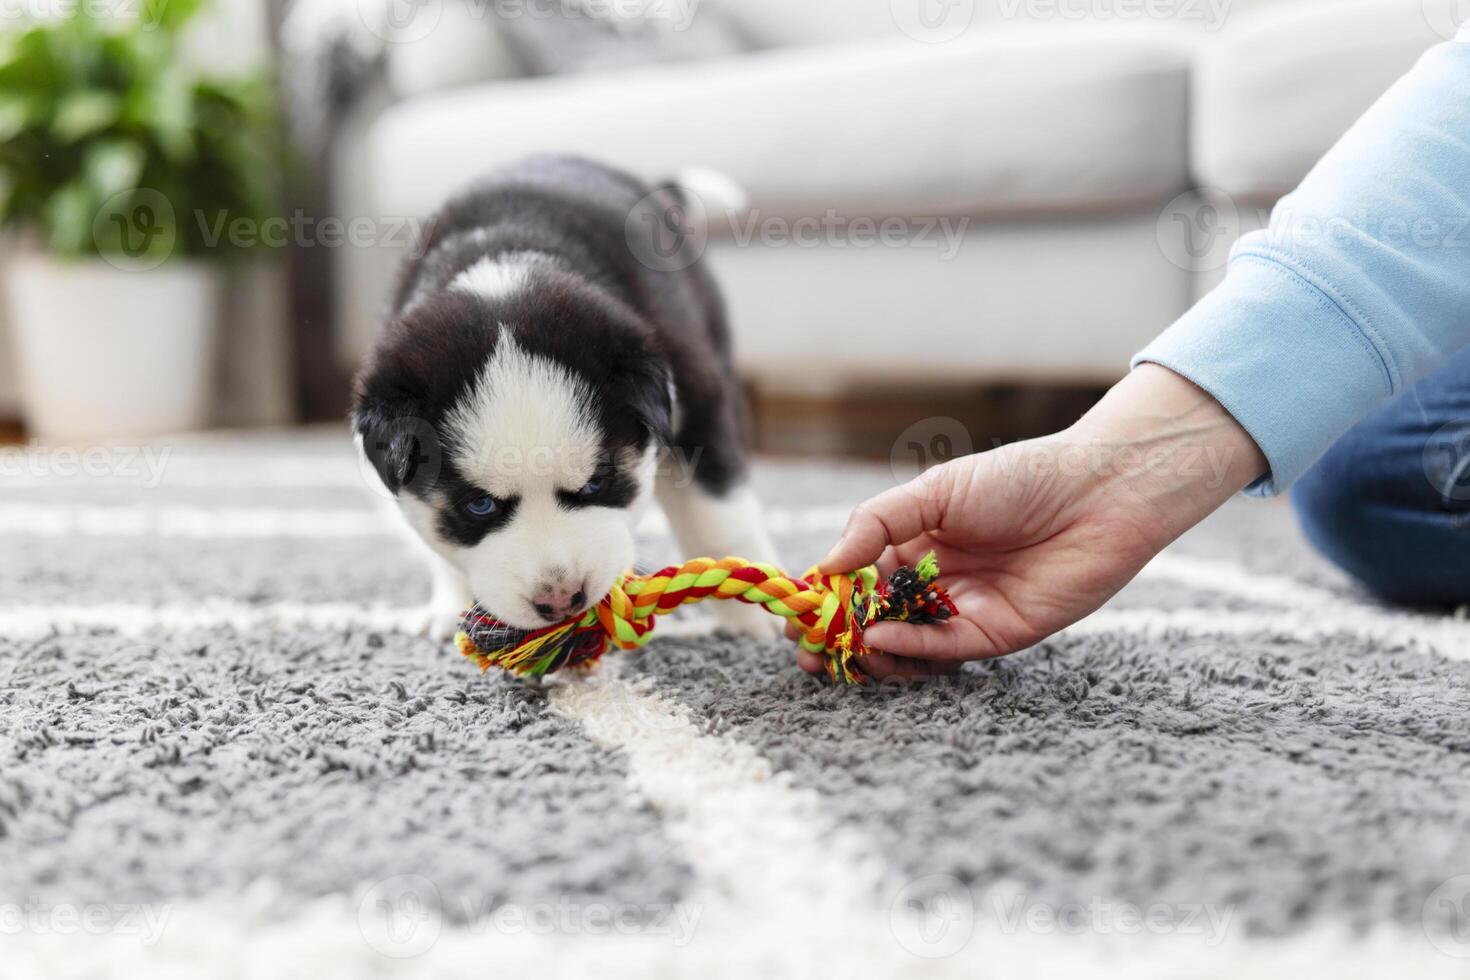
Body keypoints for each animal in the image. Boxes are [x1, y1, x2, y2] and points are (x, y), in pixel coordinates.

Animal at [354, 154, 782, 643]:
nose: (561, 600)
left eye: (596, 482)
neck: (505, 262)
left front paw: (749, 608)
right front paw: (449, 608)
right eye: (479, 505)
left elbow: (717, 513)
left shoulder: (695, 397)